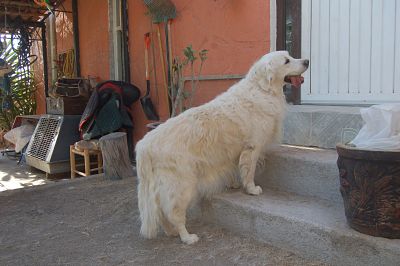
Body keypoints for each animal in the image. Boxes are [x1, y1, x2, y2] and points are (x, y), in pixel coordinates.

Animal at [136, 51, 308, 244]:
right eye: (287, 61)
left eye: (290, 56)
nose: (307, 61)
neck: (262, 89)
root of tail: (144, 145)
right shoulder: (253, 147)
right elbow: (249, 172)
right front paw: (251, 189)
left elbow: (234, 167)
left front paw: (234, 184)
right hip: (181, 186)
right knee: (174, 214)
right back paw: (187, 237)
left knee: (160, 213)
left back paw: (171, 232)